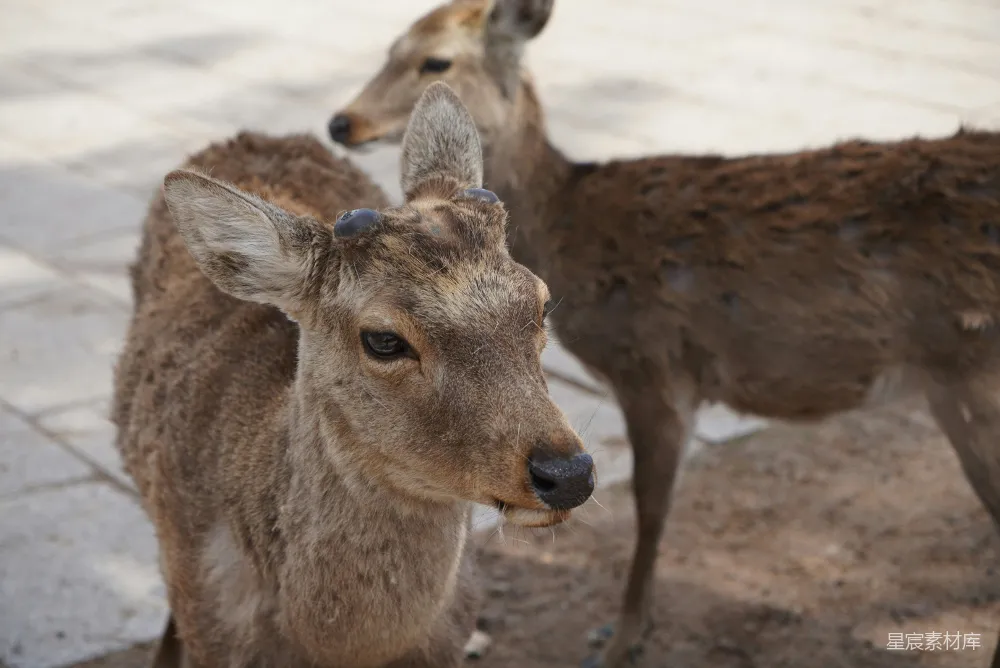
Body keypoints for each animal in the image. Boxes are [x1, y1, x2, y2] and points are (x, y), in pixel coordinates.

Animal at [328, 1, 1000, 666]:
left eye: (435, 61)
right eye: (391, 46)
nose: (341, 122)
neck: (571, 231)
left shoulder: (651, 364)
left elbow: (649, 508)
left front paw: (620, 638)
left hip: (973, 375)